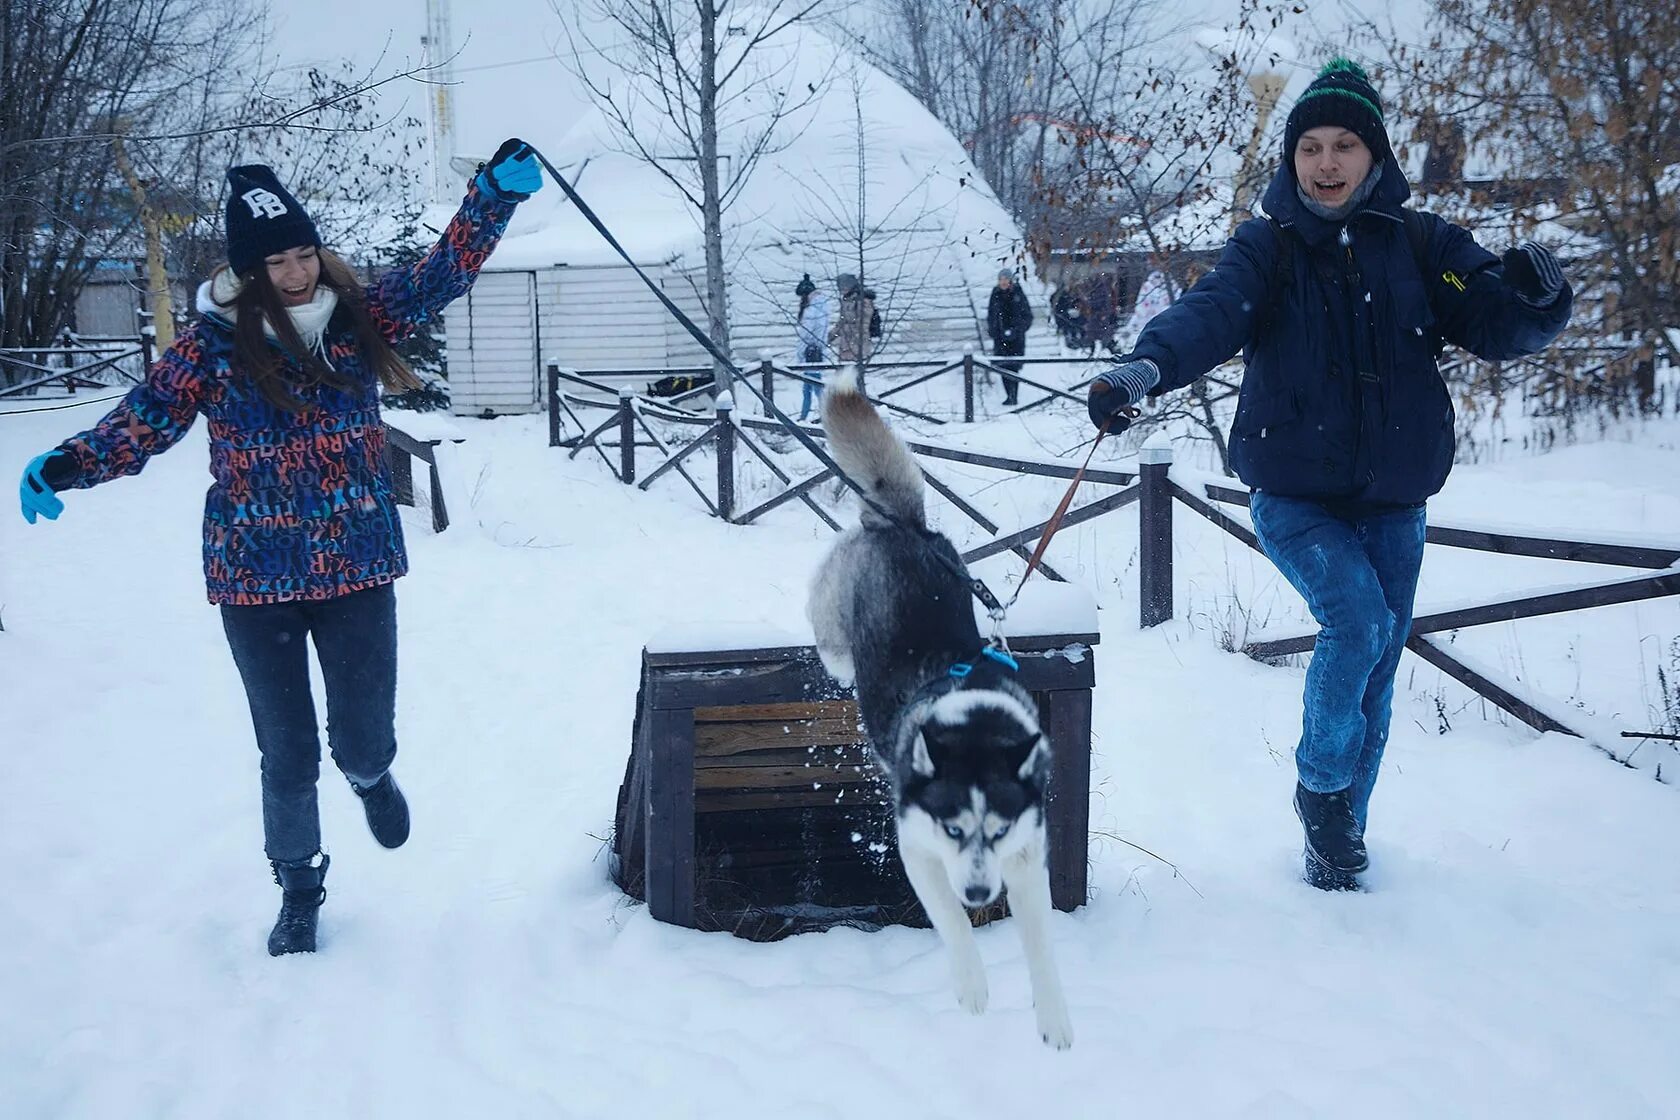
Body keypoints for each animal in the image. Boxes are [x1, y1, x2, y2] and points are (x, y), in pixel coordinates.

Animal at [806, 367, 1068, 1054]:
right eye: (953, 830)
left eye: (996, 831)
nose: (979, 890)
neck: (973, 723)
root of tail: (901, 526)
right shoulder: (919, 852)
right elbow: (950, 921)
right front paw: (973, 987)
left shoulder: (1025, 858)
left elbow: (1042, 943)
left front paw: (1055, 1019)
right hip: (832, 617)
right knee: (831, 639)